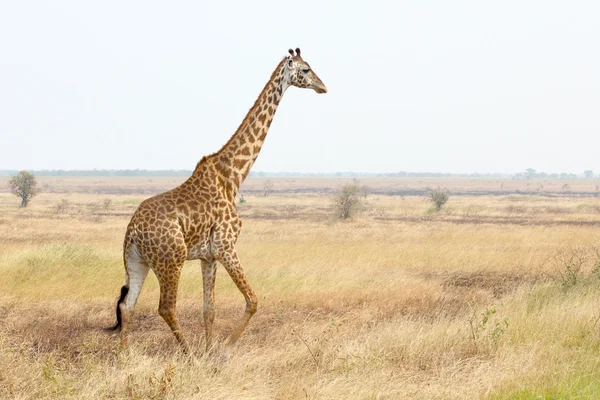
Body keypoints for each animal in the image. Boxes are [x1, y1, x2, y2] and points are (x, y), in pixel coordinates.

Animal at [105, 48, 326, 352]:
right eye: (305, 69)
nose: (322, 87)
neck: (232, 176)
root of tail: (133, 231)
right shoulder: (226, 246)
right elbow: (252, 300)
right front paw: (224, 351)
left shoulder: (208, 256)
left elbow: (208, 309)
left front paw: (210, 351)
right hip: (171, 259)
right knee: (166, 307)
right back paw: (189, 354)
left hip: (136, 261)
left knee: (128, 306)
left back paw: (125, 356)